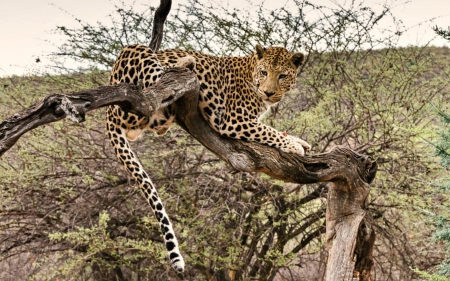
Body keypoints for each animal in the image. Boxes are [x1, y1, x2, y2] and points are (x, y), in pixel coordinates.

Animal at [106, 43, 310, 272]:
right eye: (264, 72)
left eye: (282, 75)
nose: (268, 92)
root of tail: (109, 112)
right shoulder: (234, 120)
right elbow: (268, 131)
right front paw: (295, 145)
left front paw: (299, 142)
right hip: (135, 53)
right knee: (155, 84)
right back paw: (186, 62)